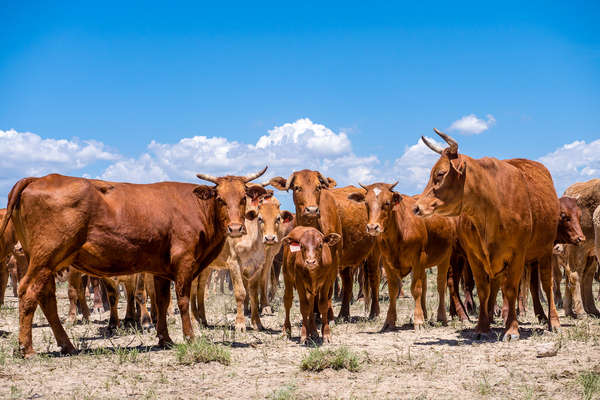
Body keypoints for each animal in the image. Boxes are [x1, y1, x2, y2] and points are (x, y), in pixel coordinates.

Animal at [0, 168, 268, 356]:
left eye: (243, 198)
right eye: (220, 198)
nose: (236, 228)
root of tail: (39, 178)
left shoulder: (161, 270)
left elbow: (162, 302)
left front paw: (165, 339)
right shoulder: (184, 263)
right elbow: (181, 300)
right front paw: (190, 337)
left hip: (47, 262)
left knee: (46, 298)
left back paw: (67, 345)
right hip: (45, 258)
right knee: (28, 293)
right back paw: (27, 349)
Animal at [270, 170, 380, 320]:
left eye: (318, 187)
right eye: (297, 187)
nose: (311, 210)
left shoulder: (332, 261)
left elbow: (327, 290)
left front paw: (327, 314)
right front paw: (315, 314)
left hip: (374, 253)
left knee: (374, 279)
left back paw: (374, 313)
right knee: (348, 282)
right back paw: (343, 314)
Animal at [346, 184, 460, 332]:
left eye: (387, 203)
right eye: (366, 203)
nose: (372, 227)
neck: (399, 231)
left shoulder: (418, 259)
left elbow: (416, 290)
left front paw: (418, 321)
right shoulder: (388, 263)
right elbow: (393, 291)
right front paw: (389, 321)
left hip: (444, 258)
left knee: (440, 286)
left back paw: (441, 317)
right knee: (424, 286)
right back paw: (425, 314)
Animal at [414, 130, 560, 340]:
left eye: (440, 174)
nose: (417, 207)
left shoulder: (517, 255)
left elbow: (511, 289)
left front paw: (512, 329)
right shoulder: (474, 256)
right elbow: (484, 289)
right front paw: (482, 327)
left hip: (545, 251)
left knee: (547, 285)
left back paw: (553, 322)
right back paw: (491, 317)